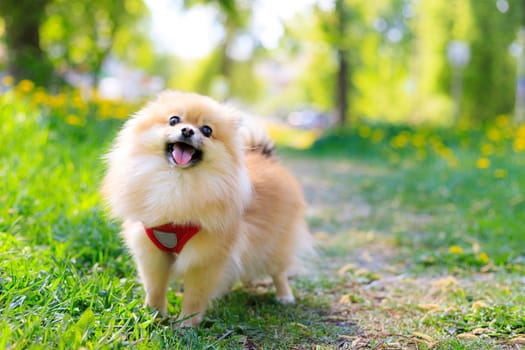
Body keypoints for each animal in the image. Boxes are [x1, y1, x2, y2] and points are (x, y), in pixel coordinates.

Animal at [102, 90, 312, 326]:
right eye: (174, 120)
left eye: (207, 130)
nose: (187, 130)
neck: (177, 182)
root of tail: (265, 156)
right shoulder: (153, 252)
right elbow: (155, 288)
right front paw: (153, 315)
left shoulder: (205, 258)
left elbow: (195, 296)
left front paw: (186, 323)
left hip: (275, 245)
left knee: (279, 272)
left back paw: (284, 296)